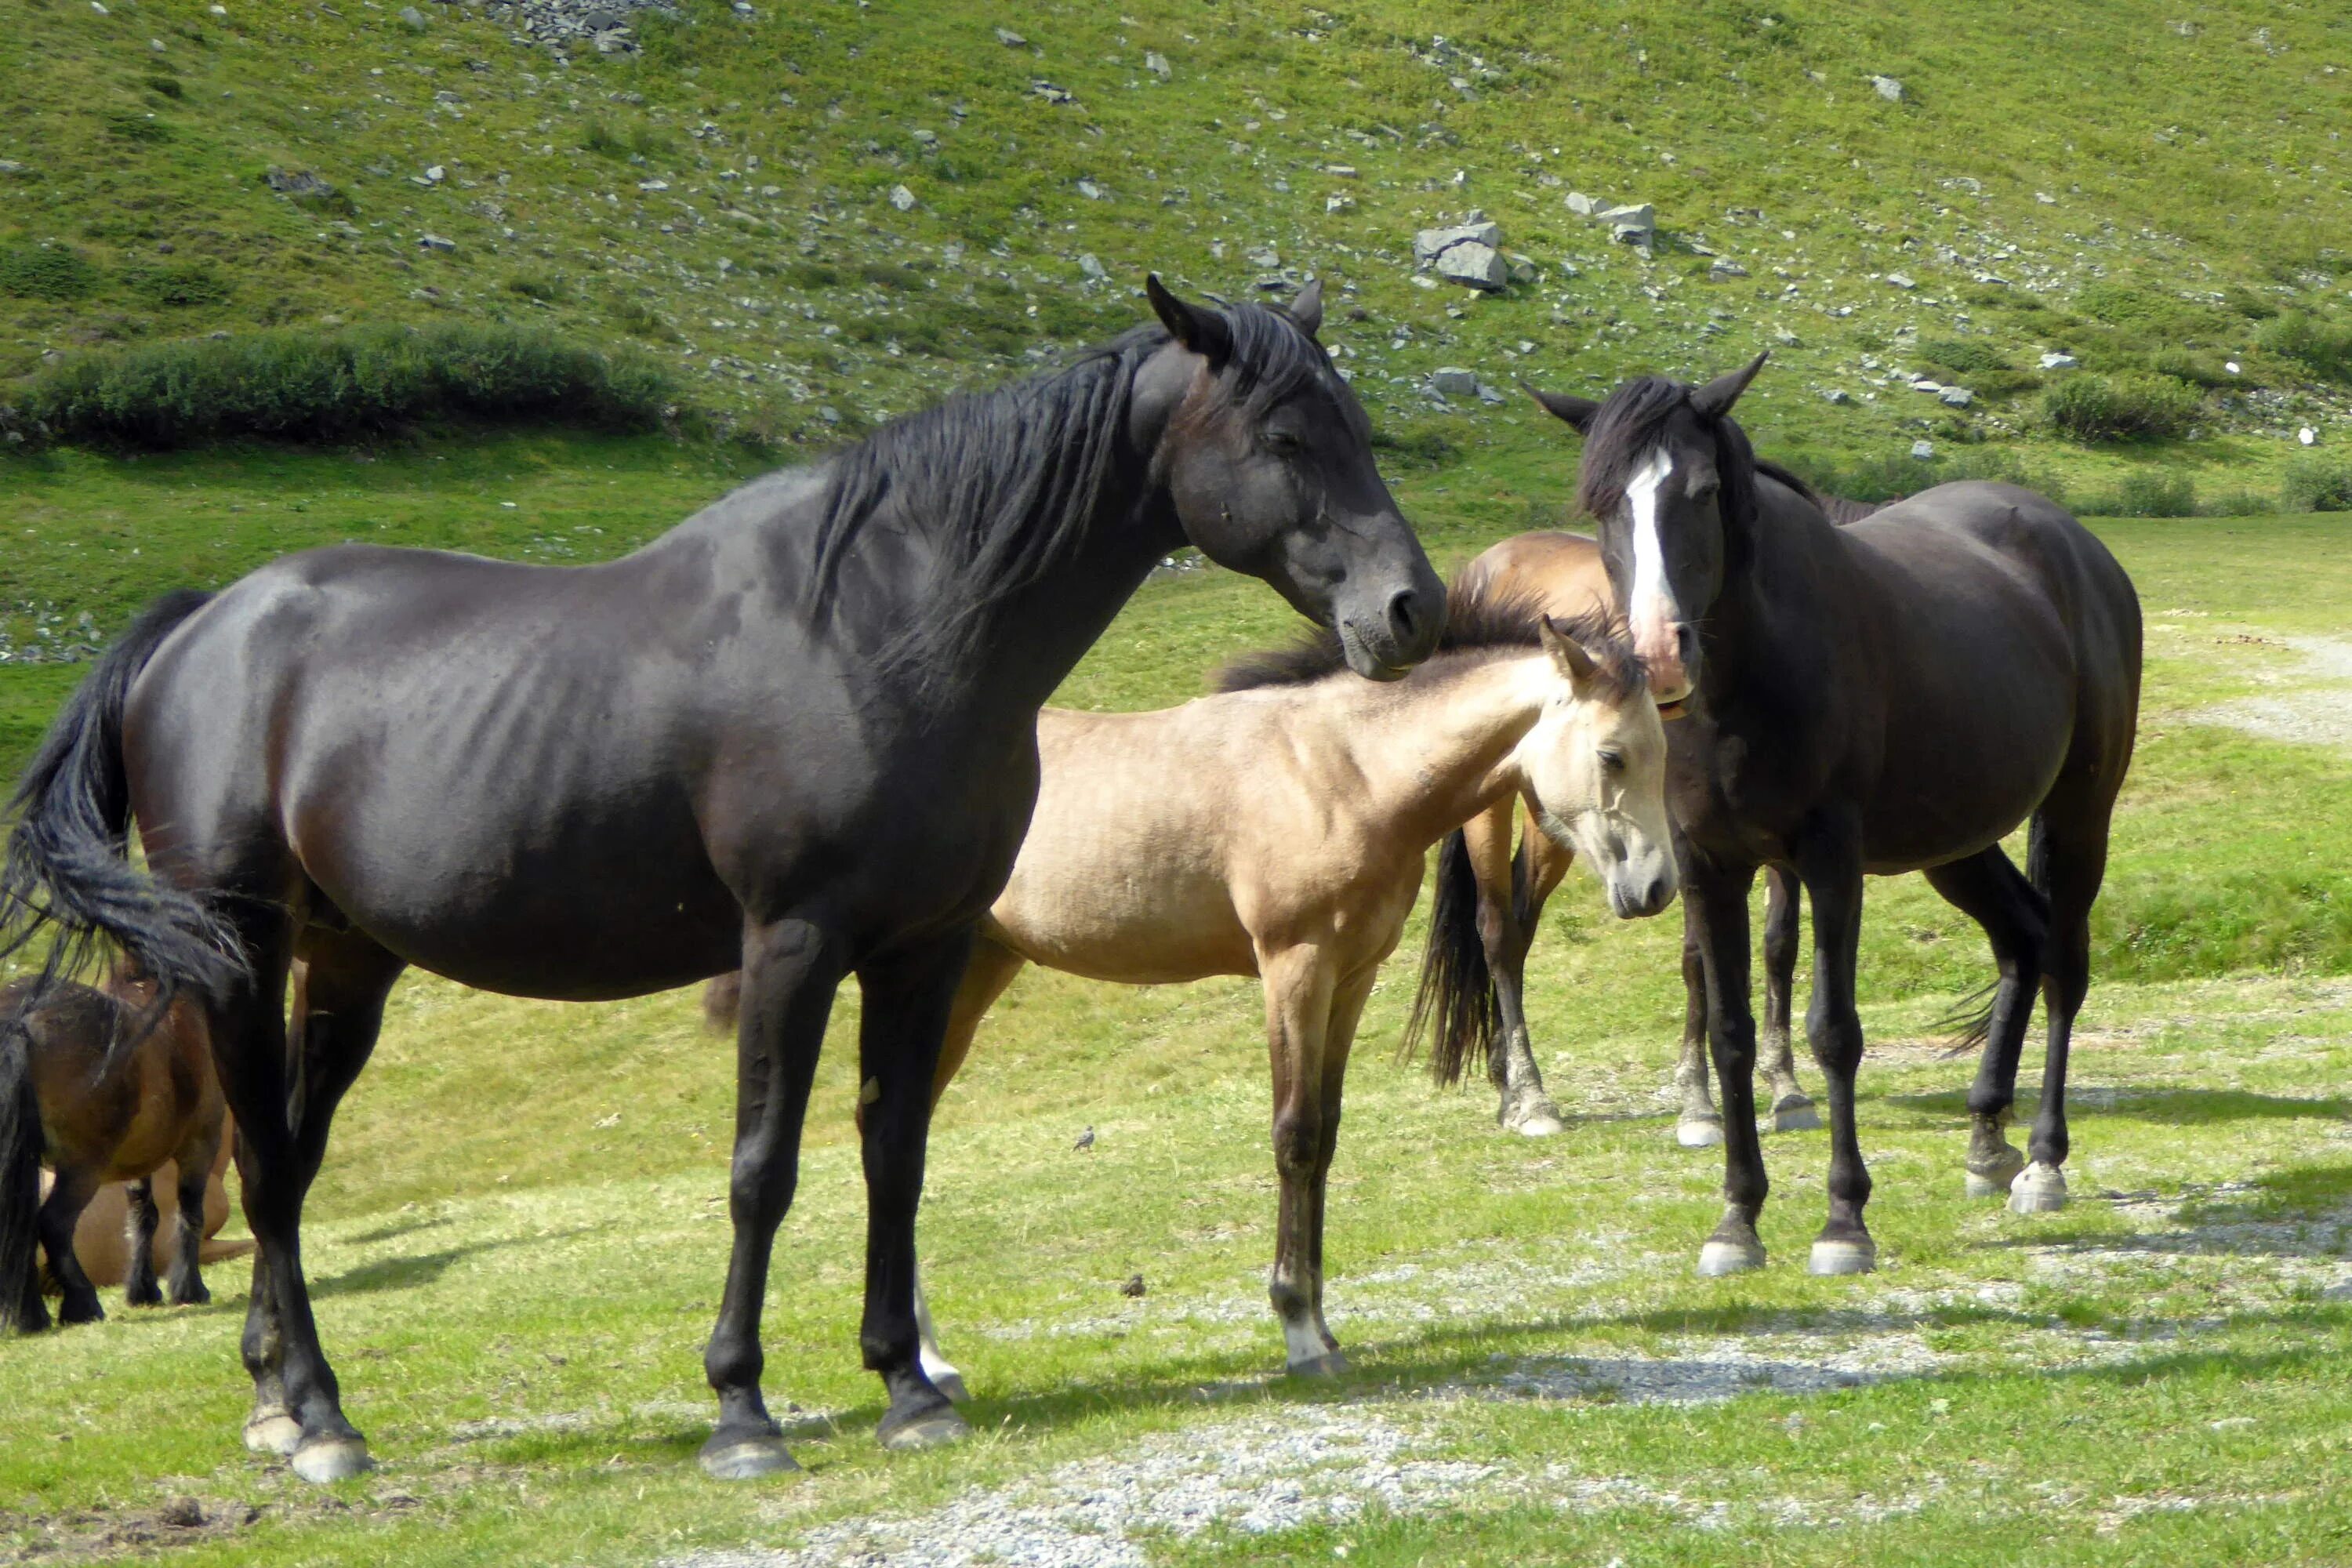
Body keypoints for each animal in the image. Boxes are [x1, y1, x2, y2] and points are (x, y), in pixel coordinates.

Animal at [2, 973, 227, 1335]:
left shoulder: (140, 1158)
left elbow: (142, 1215)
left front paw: (143, 1289)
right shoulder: (201, 1143)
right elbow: (190, 1212)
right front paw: (188, 1289)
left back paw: (29, 1317)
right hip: (82, 1169)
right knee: (54, 1223)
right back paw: (80, 1305)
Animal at [706, 585, 1665, 1382]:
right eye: (1613, 755)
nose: (1655, 888)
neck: (1343, 769)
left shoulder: (1352, 976)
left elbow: (1328, 1134)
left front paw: (1326, 1323)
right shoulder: (1293, 966)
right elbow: (1294, 1136)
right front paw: (1299, 1328)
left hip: (970, 974)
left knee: (893, 1132)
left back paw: (930, 1356)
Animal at [1534, 354, 2145, 1279]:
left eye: (1703, 491)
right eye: (1604, 505)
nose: (1661, 653)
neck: (1746, 681)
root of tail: (2079, 546)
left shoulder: (1828, 857)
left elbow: (1832, 1031)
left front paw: (1843, 1220)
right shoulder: (1710, 865)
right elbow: (1731, 1033)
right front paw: (1737, 1219)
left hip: (2081, 810)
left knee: (2064, 965)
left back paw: (2042, 1160)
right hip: (1955, 842)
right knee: (2022, 940)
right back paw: (1985, 1136)